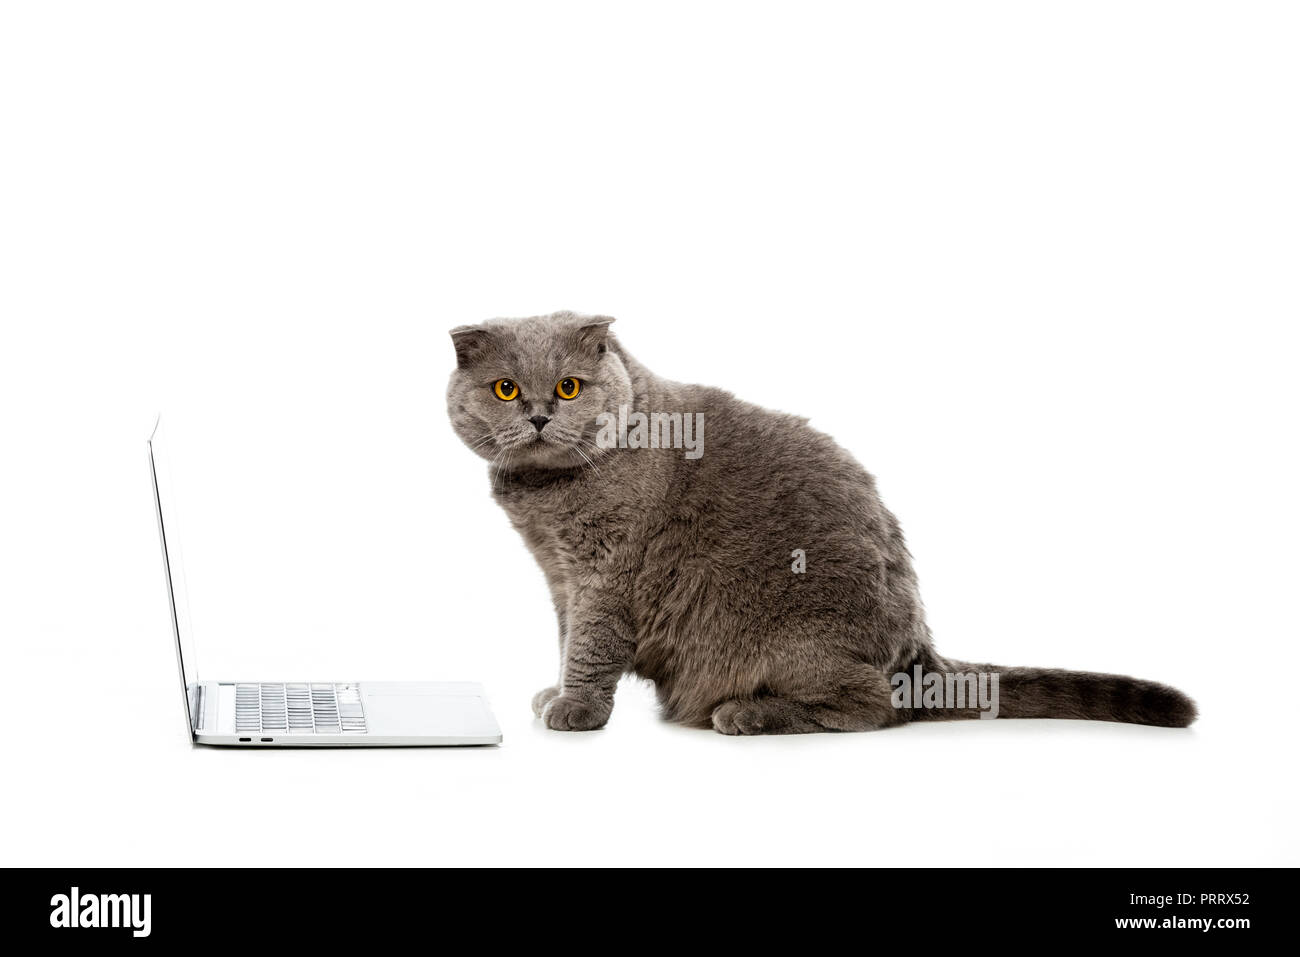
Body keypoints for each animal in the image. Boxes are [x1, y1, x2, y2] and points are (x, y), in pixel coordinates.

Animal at [447, 310, 1196, 738]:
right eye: (506, 388)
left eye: (569, 386)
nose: (539, 414)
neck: (546, 496)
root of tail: (920, 650)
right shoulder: (561, 577)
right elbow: (567, 638)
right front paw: (558, 691)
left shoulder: (605, 574)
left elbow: (592, 643)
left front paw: (577, 709)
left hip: (797, 638)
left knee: (873, 707)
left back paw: (744, 712)